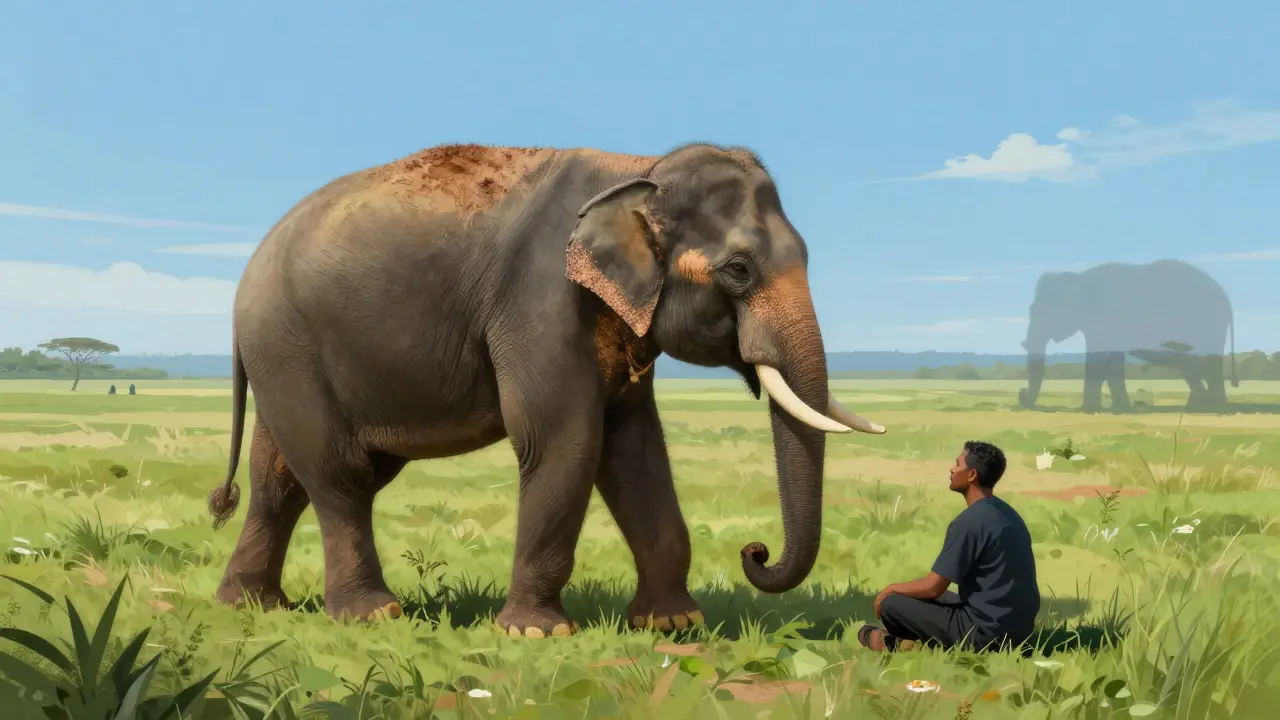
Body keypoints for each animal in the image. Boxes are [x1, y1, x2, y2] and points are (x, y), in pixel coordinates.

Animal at [204, 142, 887, 637]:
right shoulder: (539, 301)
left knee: (280, 478)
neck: (637, 169)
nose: (756, 552)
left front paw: (672, 624)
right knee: (339, 474)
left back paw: (249, 606)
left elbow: (635, 449)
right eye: (739, 270)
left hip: (290, 358)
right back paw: (373, 614)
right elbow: (565, 439)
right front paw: (536, 634)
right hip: (288, 346)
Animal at [1018, 259, 1238, 413]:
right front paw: (1118, 409)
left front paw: (1089, 409)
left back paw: (1210, 407)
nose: (1022, 394)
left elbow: (1099, 358)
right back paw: (1202, 406)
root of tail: (1226, 299)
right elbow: (1112, 361)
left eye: (1044, 314)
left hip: (1207, 323)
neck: (1078, 278)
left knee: (1205, 364)